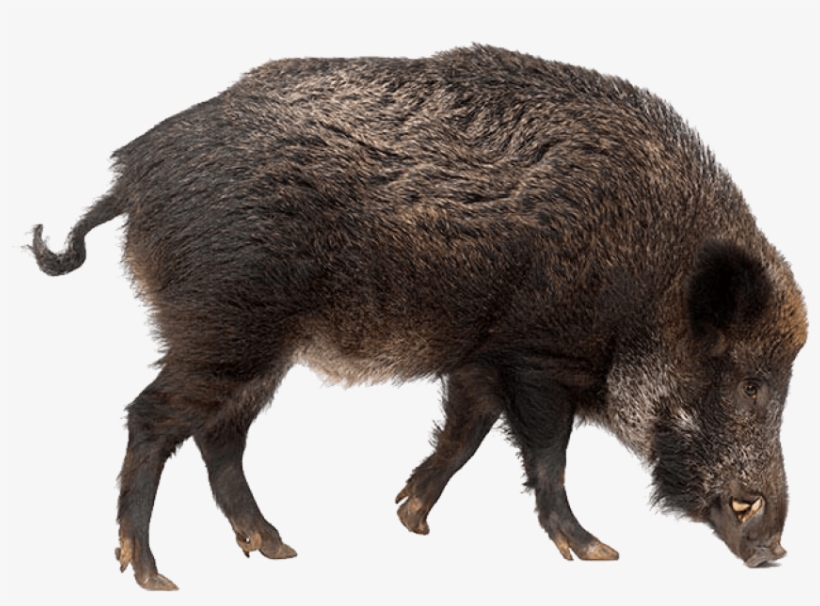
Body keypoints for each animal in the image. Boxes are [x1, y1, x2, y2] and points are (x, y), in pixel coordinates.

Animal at [31, 45, 807, 590]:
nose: (773, 549)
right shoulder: (537, 357)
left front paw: (410, 519)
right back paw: (153, 574)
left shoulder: (482, 361)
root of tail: (130, 180)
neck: (651, 278)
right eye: (751, 383)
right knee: (154, 418)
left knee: (220, 436)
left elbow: (464, 436)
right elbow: (547, 454)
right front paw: (598, 553)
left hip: (256, 347)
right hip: (225, 325)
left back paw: (277, 548)